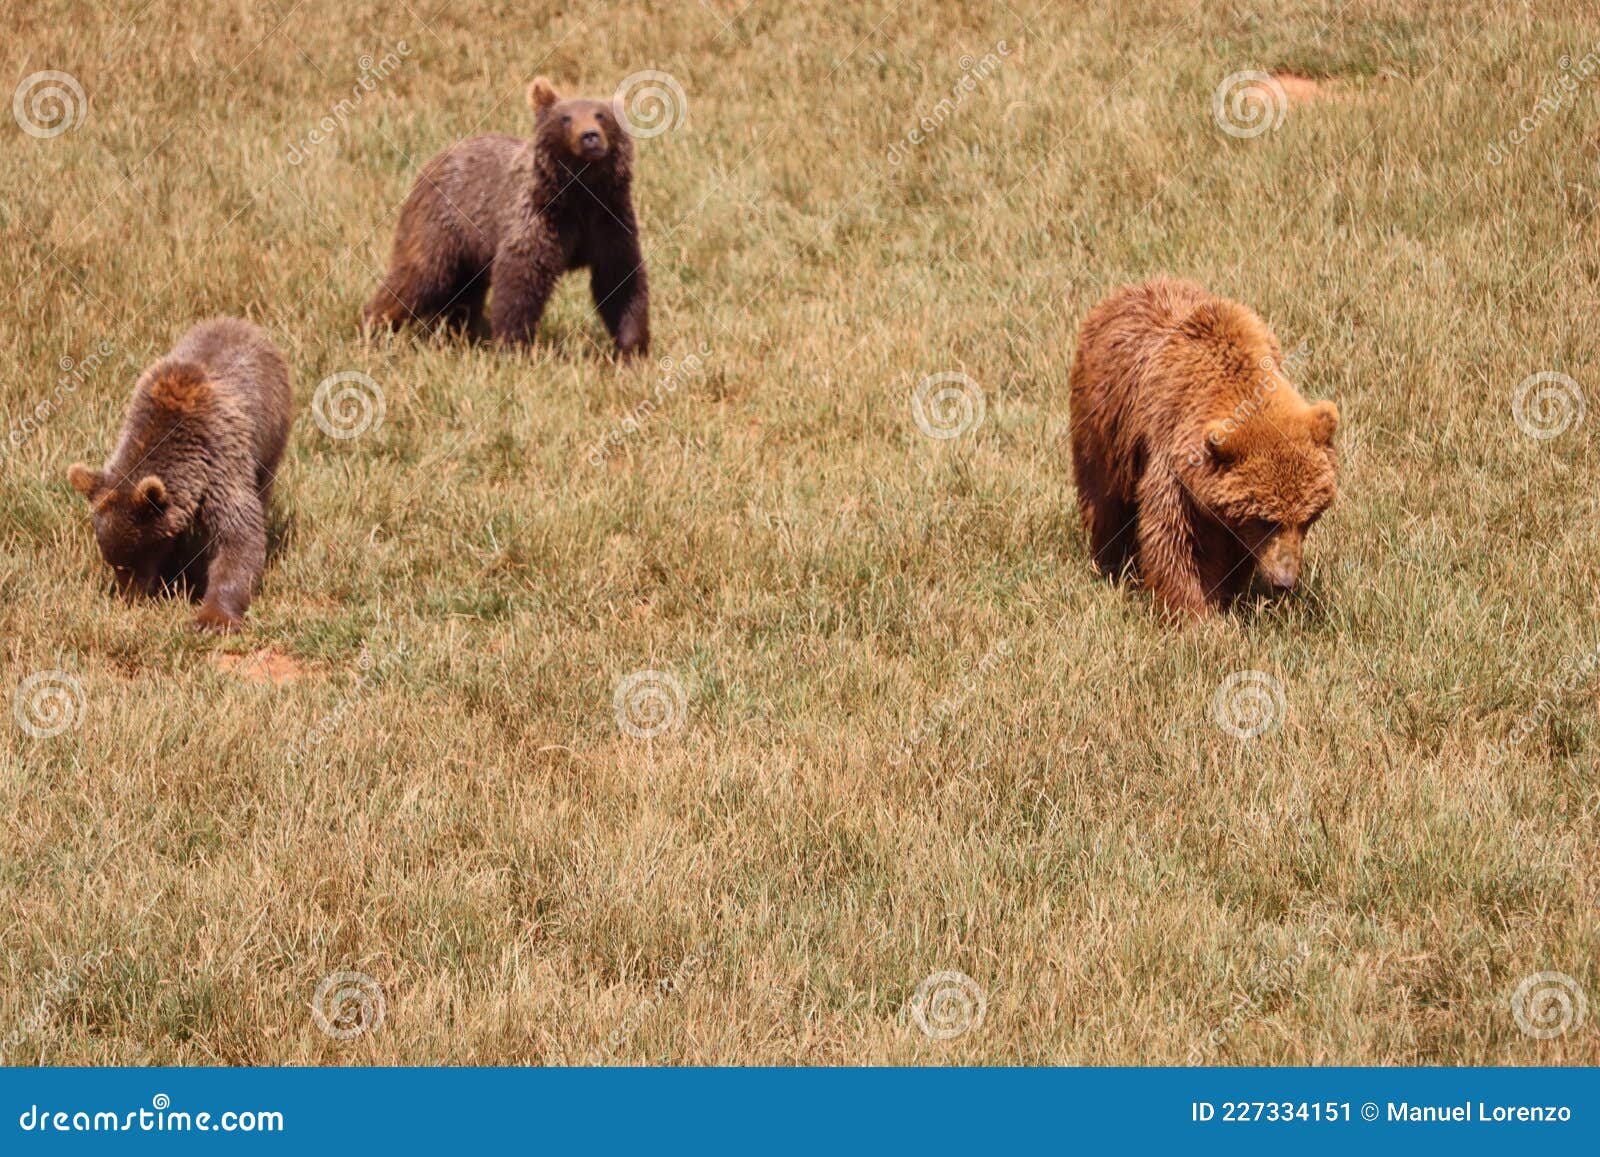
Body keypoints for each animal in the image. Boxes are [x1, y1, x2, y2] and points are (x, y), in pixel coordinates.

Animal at [67, 316, 294, 633]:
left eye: (134, 557)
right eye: (114, 562)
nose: (130, 597)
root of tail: (241, 324)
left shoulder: (219, 462)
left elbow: (238, 534)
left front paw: (213, 618)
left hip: (271, 430)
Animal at [363, 75, 649, 355]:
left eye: (601, 115)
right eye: (565, 118)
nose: (590, 136)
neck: (580, 192)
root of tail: (434, 161)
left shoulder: (608, 219)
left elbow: (620, 281)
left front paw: (632, 347)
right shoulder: (537, 219)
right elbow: (519, 281)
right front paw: (514, 346)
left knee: (462, 292)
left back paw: (456, 334)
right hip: (441, 225)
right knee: (418, 275)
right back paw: (376, 326)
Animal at [1075, 280, 1337, 620]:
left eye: (1308, 517)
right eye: (1268, 520)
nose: (1285, 581)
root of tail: (1128, 290)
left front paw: (1226, 596)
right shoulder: (1173, 457)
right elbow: (1175, 538)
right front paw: (1195, 614)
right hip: (1103, 424)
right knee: (1105, 499)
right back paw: (1110, 564)